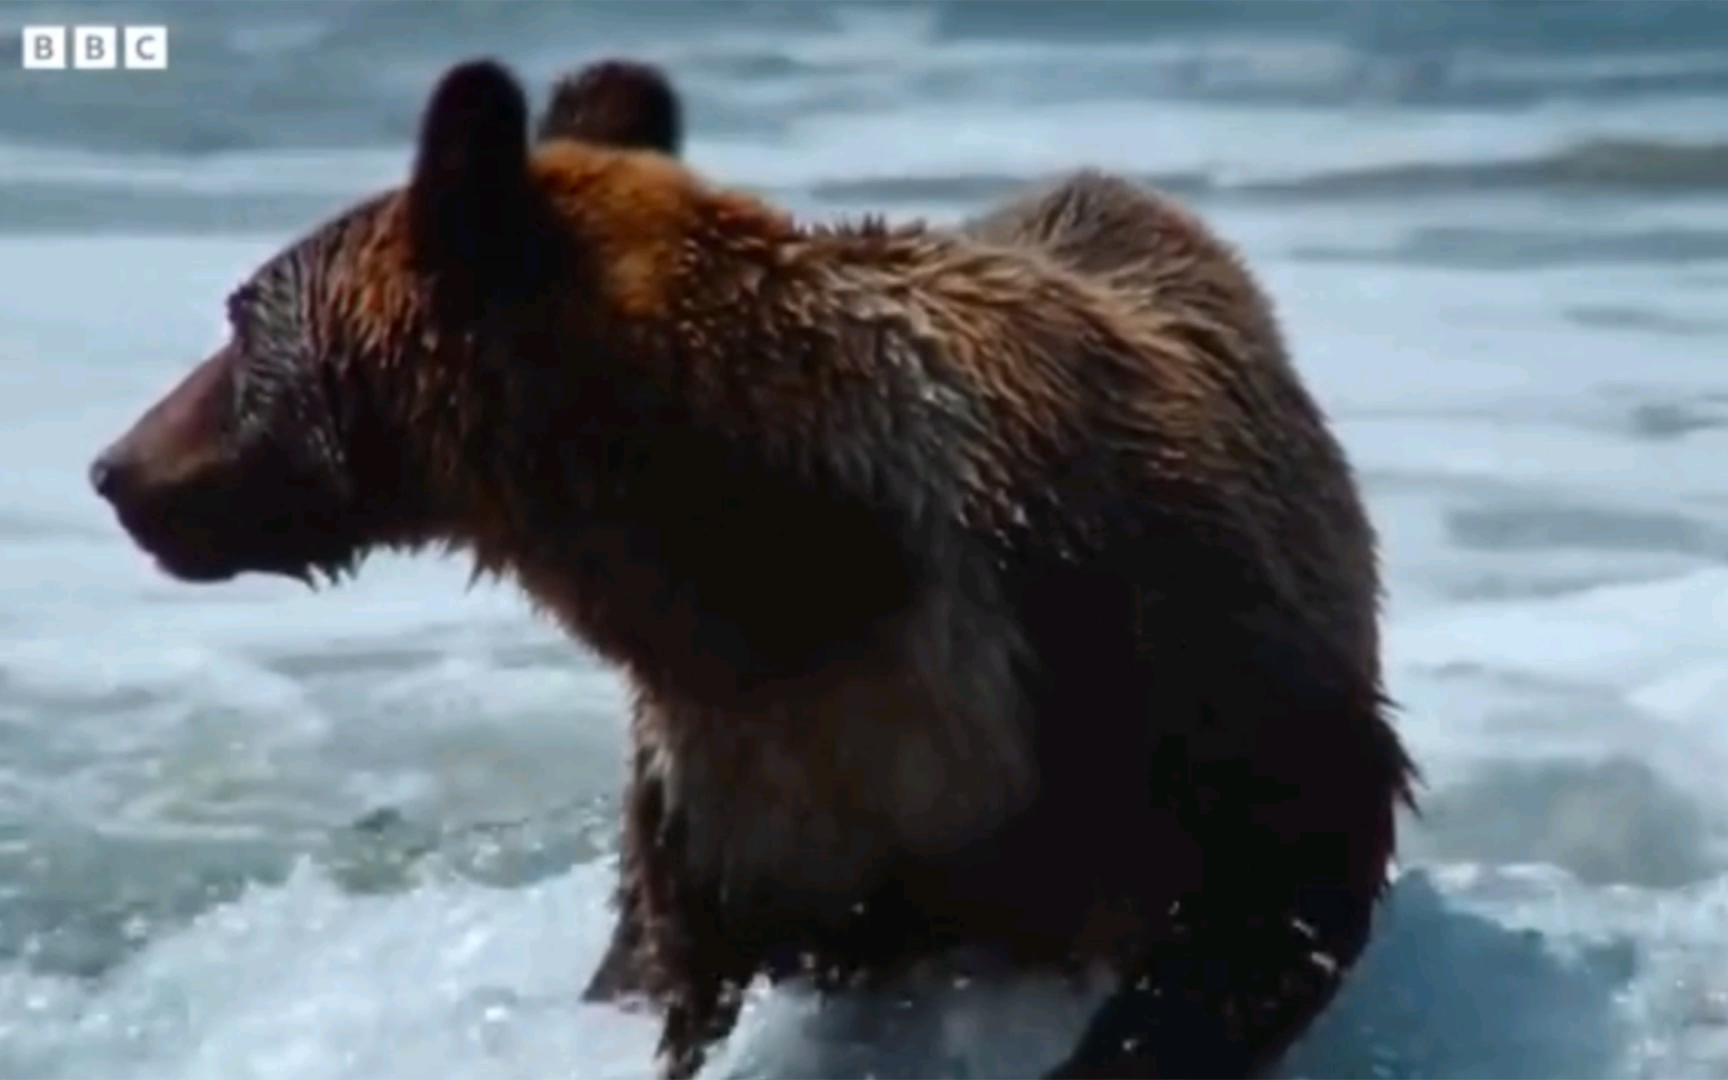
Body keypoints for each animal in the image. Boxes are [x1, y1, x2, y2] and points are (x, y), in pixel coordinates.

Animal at [87, 57, 1416, 1078]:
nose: (115, 467)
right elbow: (672, 973)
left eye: (239, 317)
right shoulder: (743, 788)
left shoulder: (1124, 649)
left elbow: (1276, 879)